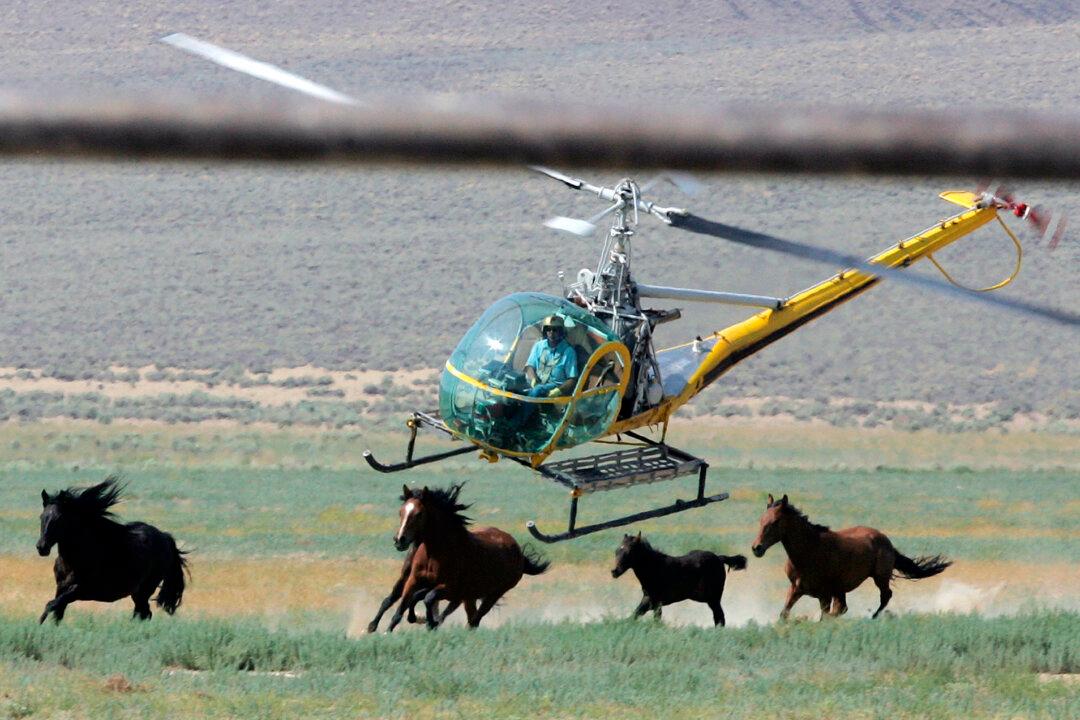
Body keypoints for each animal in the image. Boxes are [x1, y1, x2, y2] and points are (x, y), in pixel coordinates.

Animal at [36, 477, 189, 624]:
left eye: (59, 518)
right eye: (42, 516)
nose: (41, 547)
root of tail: (165, 537)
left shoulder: (79, 590)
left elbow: (50, 605)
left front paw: (39, 624)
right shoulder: (61, 588)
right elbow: (57, 613)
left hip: (144, 589)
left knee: (144, 613)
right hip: (138, 593)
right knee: (143, 613)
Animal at [383, 483, 549, 631]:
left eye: (419, 514)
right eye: (401, 511)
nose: (399, 540)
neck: (434, 554)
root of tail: (518, 552)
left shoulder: (450, 588)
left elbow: (428, 598)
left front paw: (429, 622)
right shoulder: (414, 580)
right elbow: (403, 607)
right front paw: (390, 630)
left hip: (493, 594)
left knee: (474, 620)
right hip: (469, 596)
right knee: (470, 618)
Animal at [611, 532, 747, 626]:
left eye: (629, 551)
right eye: (617, 550)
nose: (614, 571)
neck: (655, 568)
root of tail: (719, 558)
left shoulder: (656, 601)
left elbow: (654, 618)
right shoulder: (649, 599)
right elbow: (635, 614)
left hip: (712, 598)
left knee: (719, 617)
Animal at [751, 493, 951, 620]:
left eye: (775, 522)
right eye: (761, 520)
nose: (756, 548)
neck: (809, 551)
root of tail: (886, 541)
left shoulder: (825, 594)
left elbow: (826, 616)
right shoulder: (796, 588)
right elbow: (784, 614)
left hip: (879, 577)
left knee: (885, 596)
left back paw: (872, 617)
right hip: (842, 589)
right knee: (846, 607)